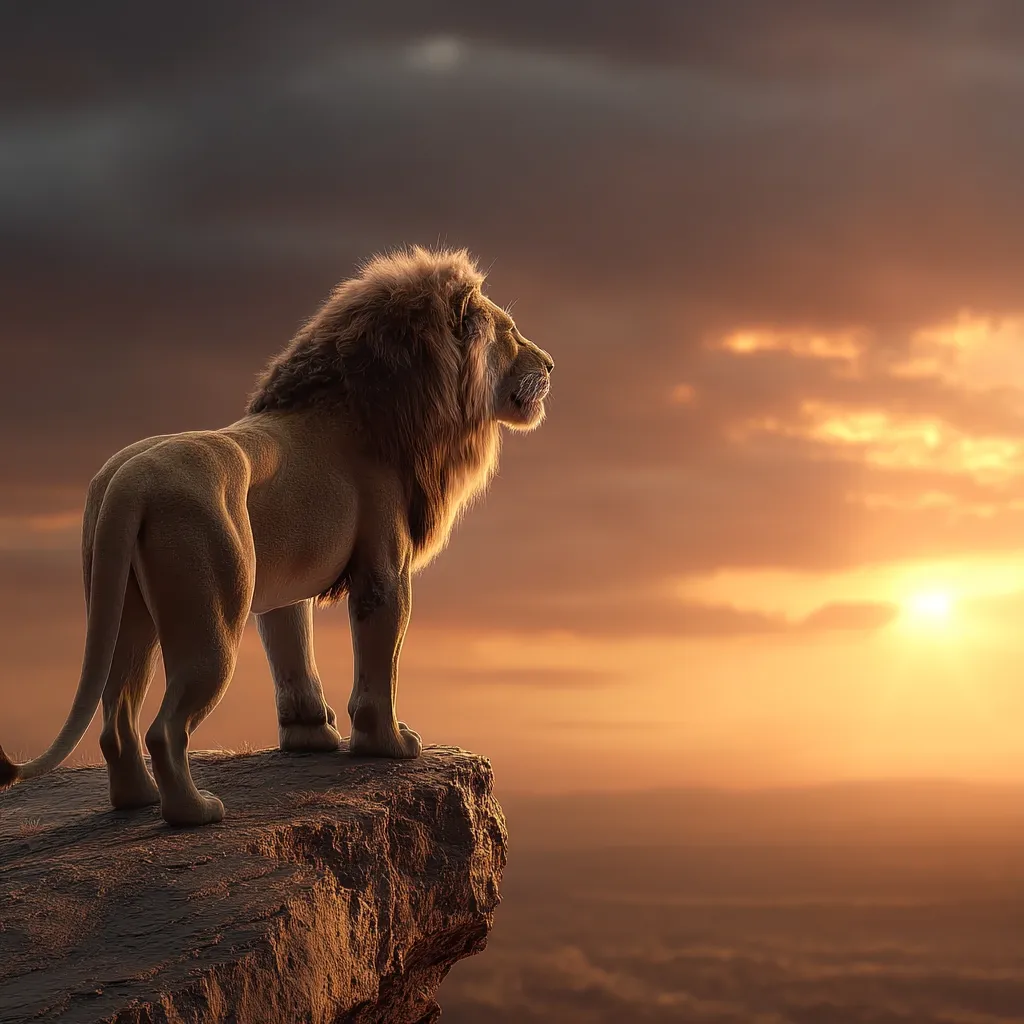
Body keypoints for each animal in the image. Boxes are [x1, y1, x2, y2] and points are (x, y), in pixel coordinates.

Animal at [0, 246, 553, 826]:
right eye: (511, 332)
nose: (552, 366)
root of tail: (130, 481)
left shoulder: (285, 587)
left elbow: (293, 654)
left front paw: (310, 735)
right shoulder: (384, 571)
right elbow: (379, 666)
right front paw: (388, 744)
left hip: (126, 609)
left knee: (117, 720)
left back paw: (139, 800)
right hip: (211, 620)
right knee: (163, 729)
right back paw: (195, 812)